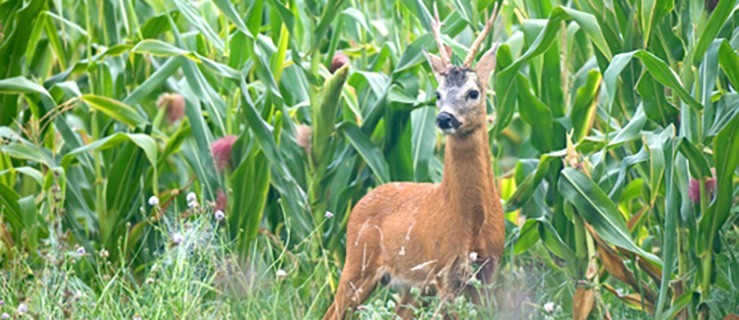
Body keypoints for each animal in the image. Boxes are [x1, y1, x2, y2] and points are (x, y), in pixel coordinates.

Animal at [326, 4, 506, 318]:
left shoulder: (488, 272)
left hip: (412, 286)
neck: (473, 222)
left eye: (473, 92)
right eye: (437, 93)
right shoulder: (444, 271)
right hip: (358, 263)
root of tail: (361, 201)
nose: (444, 117)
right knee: (333, 310)